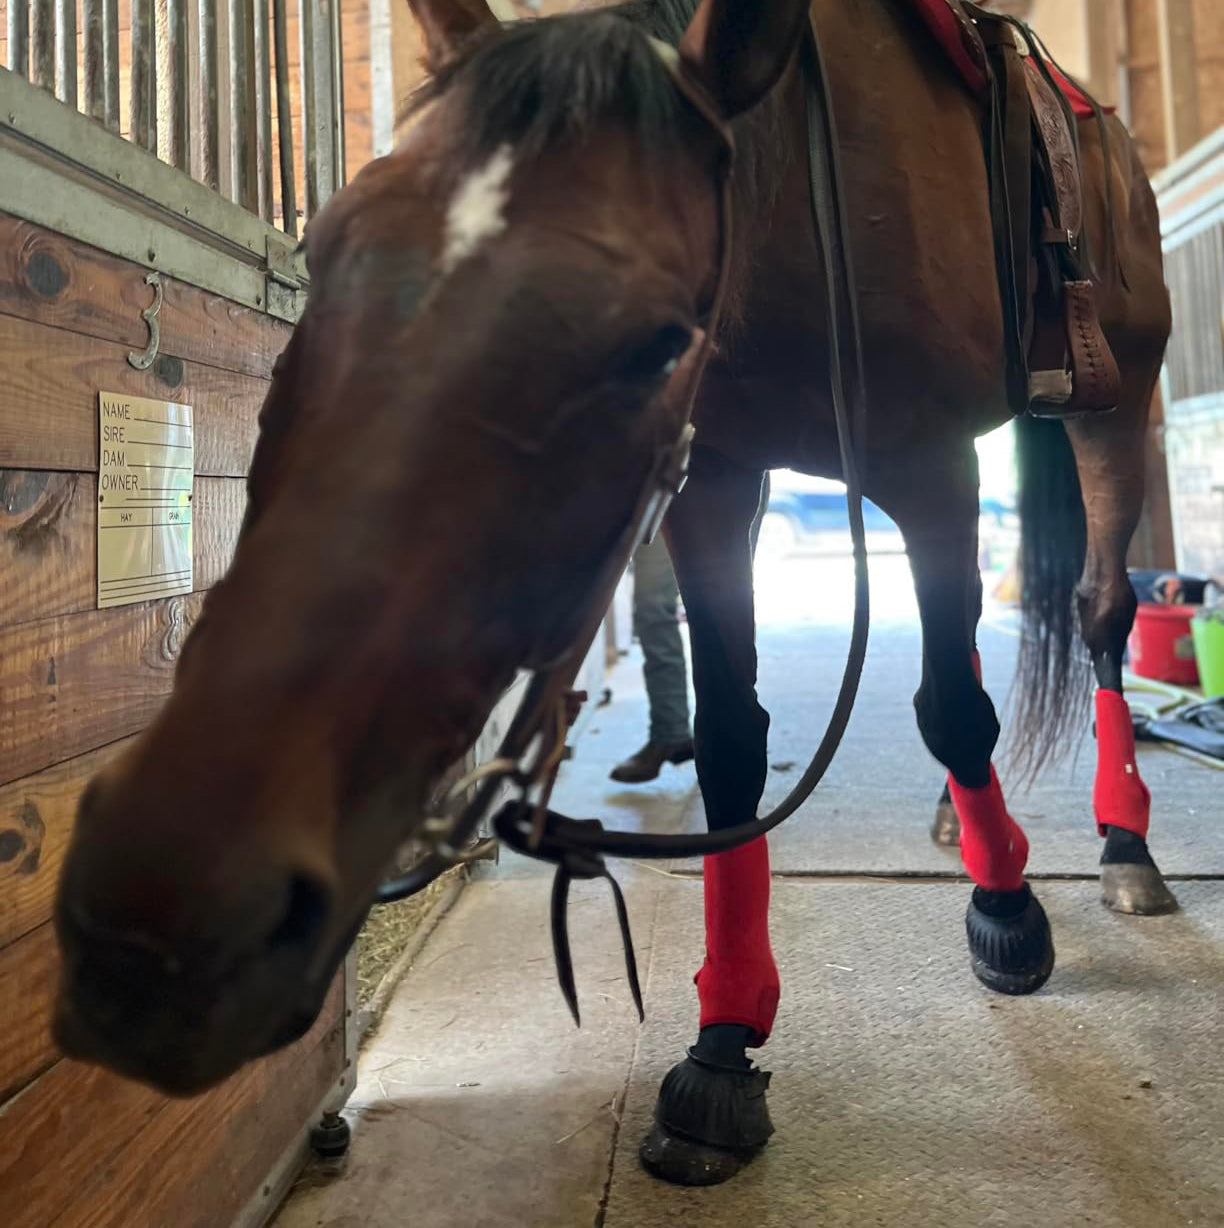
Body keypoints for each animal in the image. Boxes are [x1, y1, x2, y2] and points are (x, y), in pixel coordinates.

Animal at [53, 0, 1172, 1188]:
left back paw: (1122, 846)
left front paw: (1008, 911)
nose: (162, 926)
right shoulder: (710, 477)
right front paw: (726, 1040)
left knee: (1098, 611)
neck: (806, 203)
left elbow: (952, 709)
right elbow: (732, 746)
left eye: (657, 344)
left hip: (1115, 408)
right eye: (327, 254)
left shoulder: (928, 468)